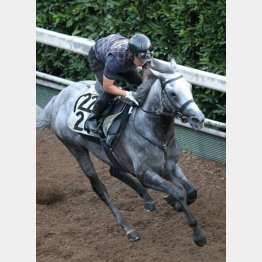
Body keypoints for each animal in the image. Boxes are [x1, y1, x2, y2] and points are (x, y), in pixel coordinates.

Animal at [36, 57, 207, 248]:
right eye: (173, 93)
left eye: (190, 87)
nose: (199, 118)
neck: (152, 130)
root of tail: (57, 98)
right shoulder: (146, 174)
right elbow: (179, 192)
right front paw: (198, 235)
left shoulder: (170, 166)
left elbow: (191, 191)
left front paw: (173, 202)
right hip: (76, 148)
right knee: (99, 187)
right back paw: (129, 228)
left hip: (111, 154)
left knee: (115, 170)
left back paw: (147, 200)